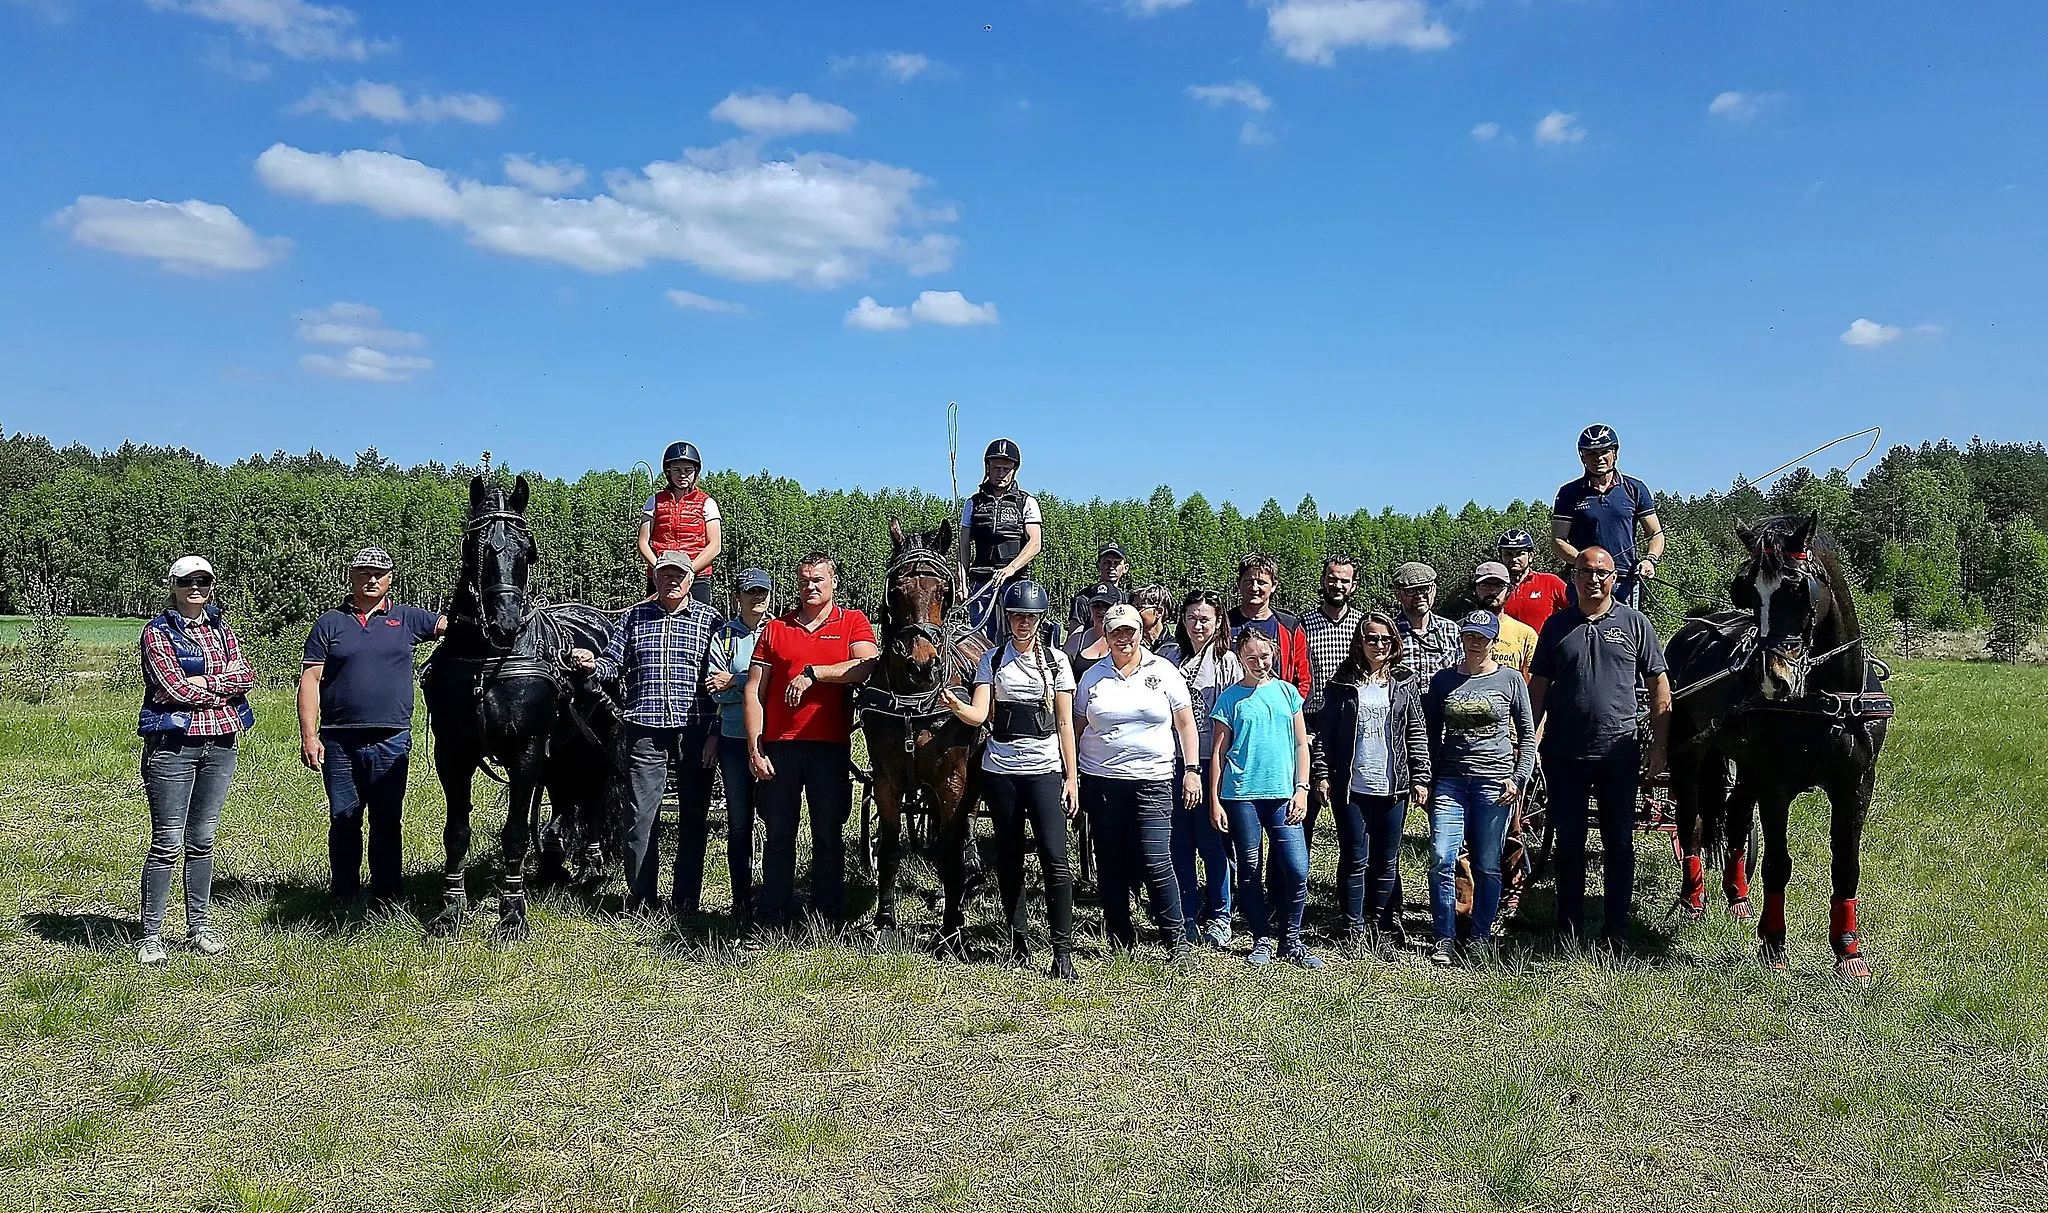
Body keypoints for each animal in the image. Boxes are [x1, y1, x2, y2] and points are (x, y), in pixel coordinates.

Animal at [411, 479, 610, 942]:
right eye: (473, 545)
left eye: (527, 548)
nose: (504, 624)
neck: (488, 660)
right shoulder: (453, 754)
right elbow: (456, 831)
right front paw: (452, 907)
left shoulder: (527, 751)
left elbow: (516, 833)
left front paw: (512, 911)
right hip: (562, 750)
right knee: (566, 801)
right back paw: (555, 862)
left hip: (592, 744)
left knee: (595, 795)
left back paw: (592, 863)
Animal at [851, 516, 987, 950]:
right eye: (895, 591)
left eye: (944, 591)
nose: (921, 664)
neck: (914, 699)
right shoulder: (887, 780)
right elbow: (890, 847)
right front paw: (884, 920)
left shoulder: (952, 781)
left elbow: (949, 849)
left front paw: (952, 926)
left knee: (966, 825)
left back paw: (969, 874)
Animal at [1662, 516, 1884, 979]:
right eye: (1744, 590)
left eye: (1799, 589)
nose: (1774, 680)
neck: (1831, 696)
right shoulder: (1776, 784)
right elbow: (1778, 864)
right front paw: (1773, 944)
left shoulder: (1856, 783)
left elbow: (1846, 864)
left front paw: (1848, 950)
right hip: (1690, 755)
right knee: (1692, 823)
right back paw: (1693, 898)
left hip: (1744, 765)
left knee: (1735, 817)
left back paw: (1737, 896)